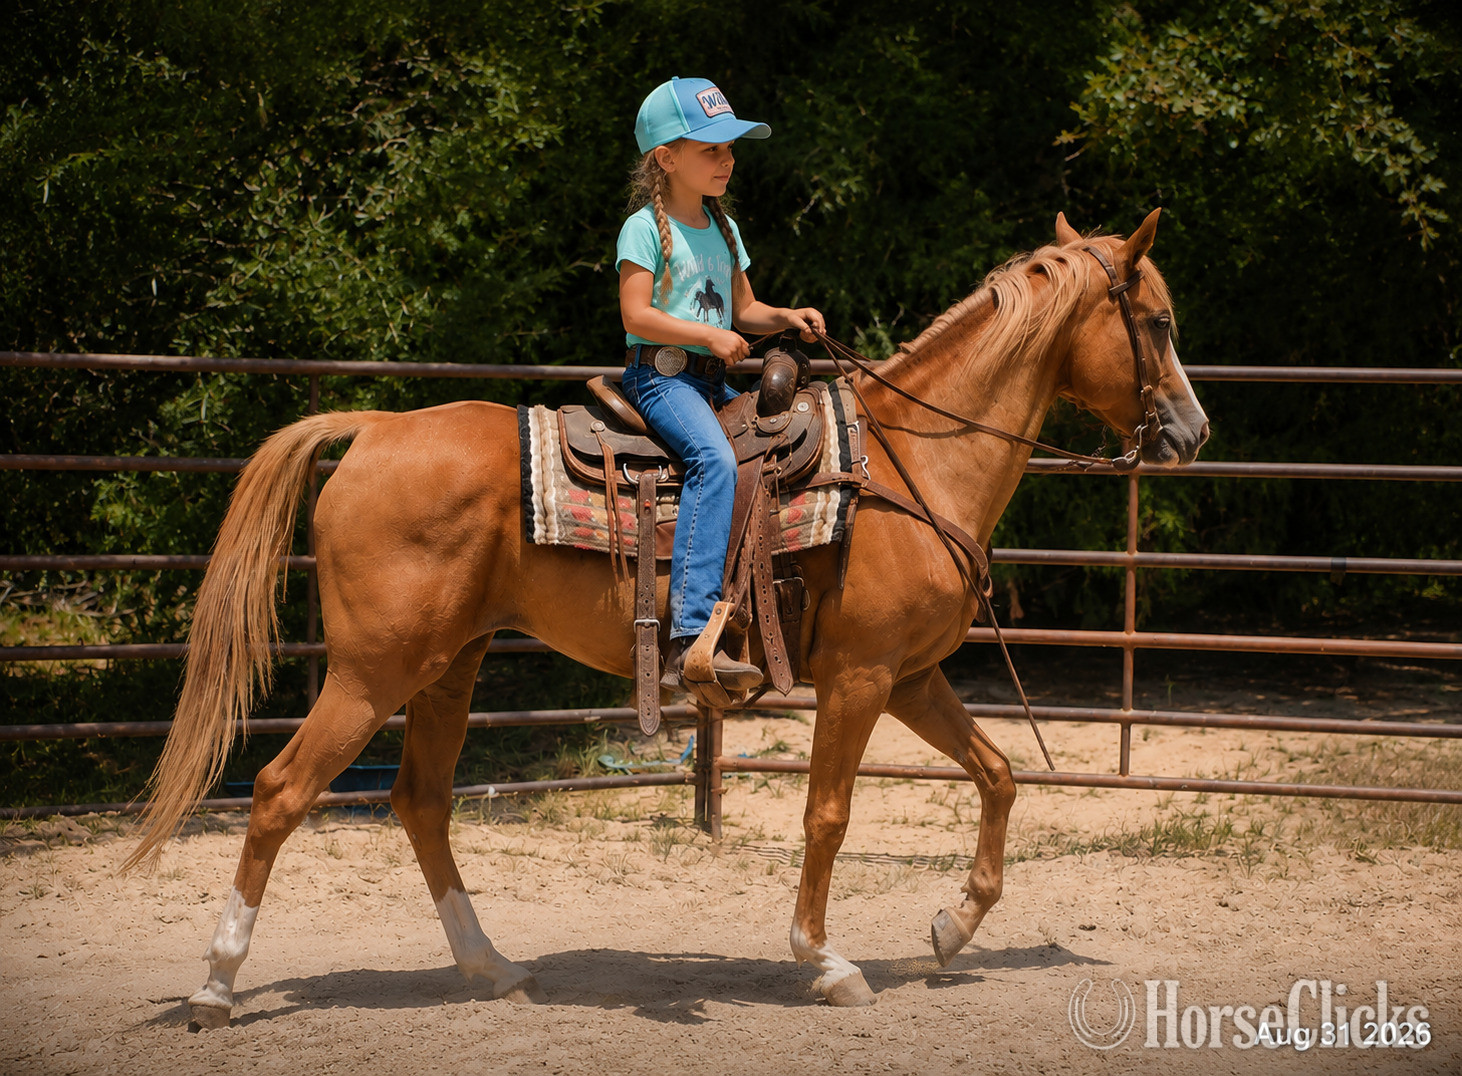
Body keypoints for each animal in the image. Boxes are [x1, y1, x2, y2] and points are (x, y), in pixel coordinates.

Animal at [124, 210, 1208, 1024]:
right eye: (1155, 319)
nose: (1193, 431)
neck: (905, 465)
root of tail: (373, 430)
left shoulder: (908, 675)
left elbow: (998, 774)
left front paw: (952, 926)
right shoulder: (860, 679)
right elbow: (827, 814)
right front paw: (824, 960)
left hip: (449, 667)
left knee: (420, 801)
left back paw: (491, 965)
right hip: (370, 672)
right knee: (278, 790)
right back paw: (216, 986)